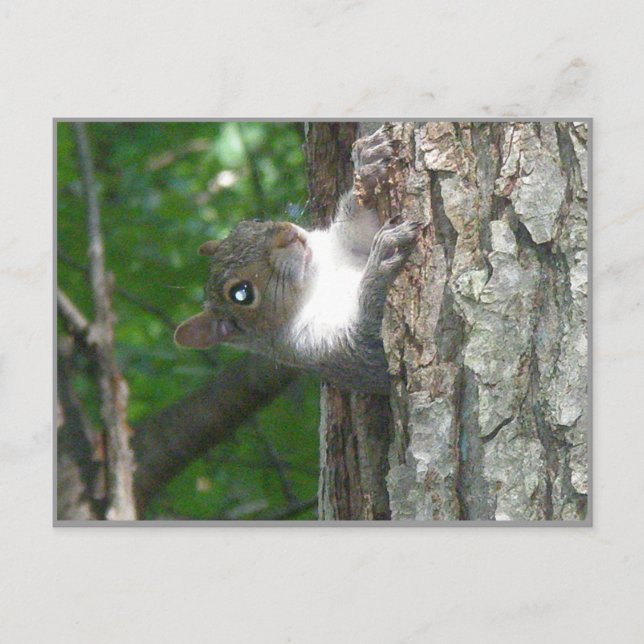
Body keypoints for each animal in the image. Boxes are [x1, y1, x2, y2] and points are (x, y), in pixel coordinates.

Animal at [174, 128, 421, 394]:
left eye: (253, 222)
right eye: (241, 293)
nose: (287, 236)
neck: (317, 276)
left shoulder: (346, 245)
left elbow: (359, 226)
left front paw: (366, 166)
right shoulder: (327, 349)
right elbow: (371, 340)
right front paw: (381, 263)